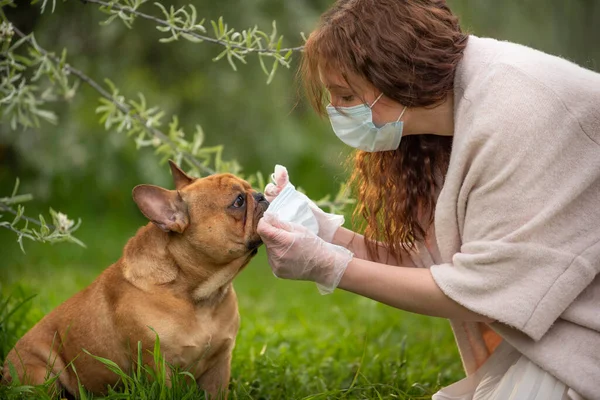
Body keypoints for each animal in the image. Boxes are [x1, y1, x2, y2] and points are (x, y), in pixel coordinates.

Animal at [0, 161, 268, 398]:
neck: (198, 294)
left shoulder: (219, 364)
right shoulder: (157, 363)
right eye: (238, 201)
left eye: (251, 189)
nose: (261, 195)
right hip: (40, 373)